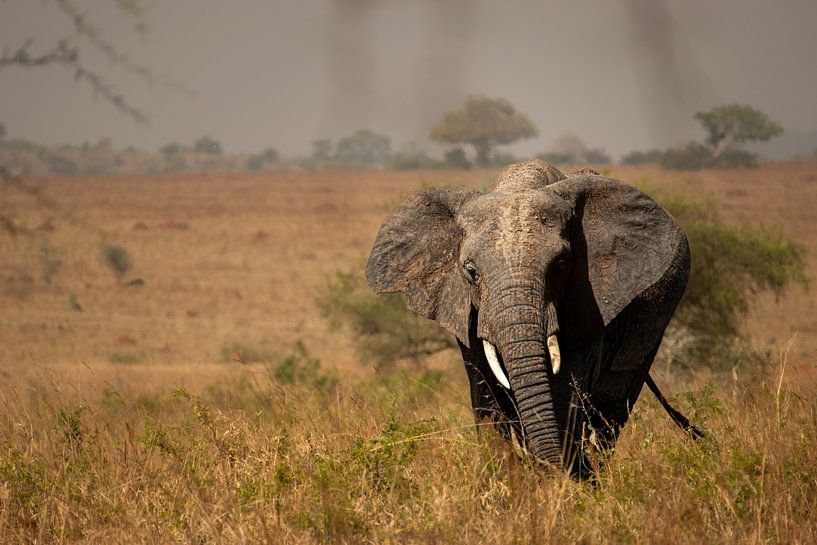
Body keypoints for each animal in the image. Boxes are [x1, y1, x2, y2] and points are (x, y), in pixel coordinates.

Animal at [366, 159, 702, 476]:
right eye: (470, 271)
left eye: (560, 265)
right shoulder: (466, 311)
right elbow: (487, 400)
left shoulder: (588, 305)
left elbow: (564, 396)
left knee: (612, 411)